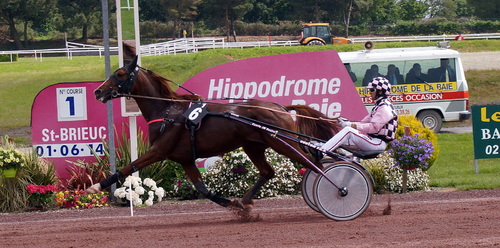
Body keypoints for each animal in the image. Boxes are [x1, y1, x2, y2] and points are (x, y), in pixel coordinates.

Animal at [87, 46, 336, 209]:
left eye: (120, 74)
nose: (98, 91)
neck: (167, 112)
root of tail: (280, 107)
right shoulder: (185, 158)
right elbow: (203, 189)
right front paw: (234, 205)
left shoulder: (159, 151)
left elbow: (129, 167)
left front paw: (96, 186)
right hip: (253, 146)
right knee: (269, 172)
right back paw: (245, 200)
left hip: (282, 142)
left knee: (313, 164)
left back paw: (336, 191)